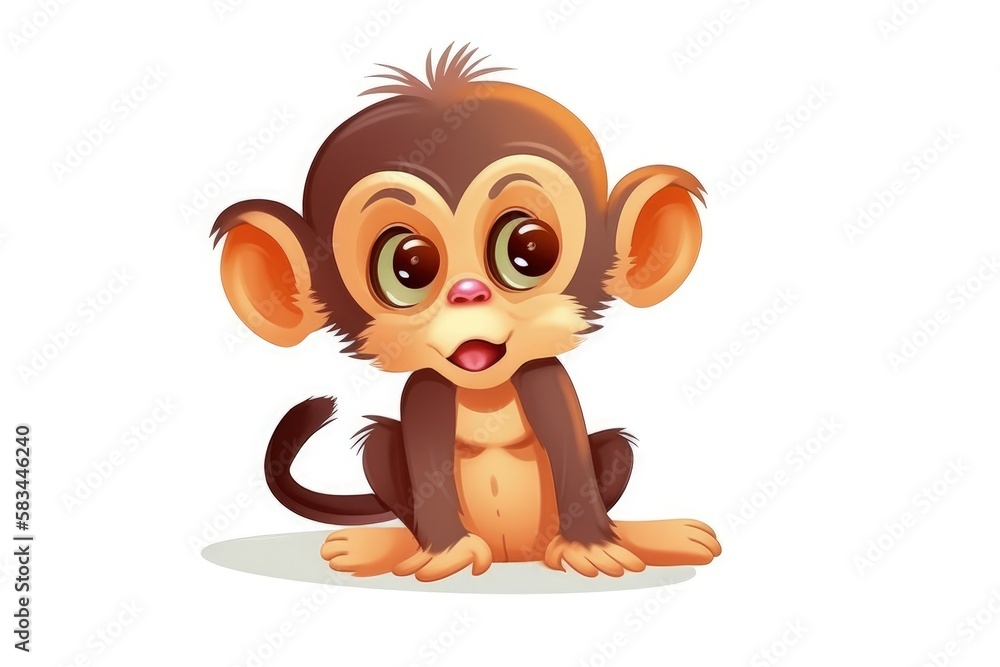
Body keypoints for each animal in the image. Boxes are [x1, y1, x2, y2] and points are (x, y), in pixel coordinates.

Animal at [212, 44, 721, 581]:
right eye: (409, 265)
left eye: (530, 248)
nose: (468, 294)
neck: (486, 394)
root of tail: (513, 557)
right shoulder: (424, 393)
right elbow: (424, 460)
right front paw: (446, 552)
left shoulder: (546, 380)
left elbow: (572, 452)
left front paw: (591, 546)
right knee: (380, 445)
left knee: (614, 449)